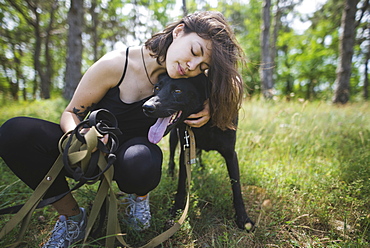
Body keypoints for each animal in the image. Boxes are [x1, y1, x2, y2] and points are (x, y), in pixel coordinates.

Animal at [142, 73, 254, 231]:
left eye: (177, 91)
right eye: (157, 87)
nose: (147, 107)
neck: (206, 125)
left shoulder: (231, 154)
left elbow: (236, 188)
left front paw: (243, 219)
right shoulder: (185, 151)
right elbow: (181, 186)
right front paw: (176, 211)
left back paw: (201, 169)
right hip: (174, 137)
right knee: (171, 158)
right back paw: (171, 174)